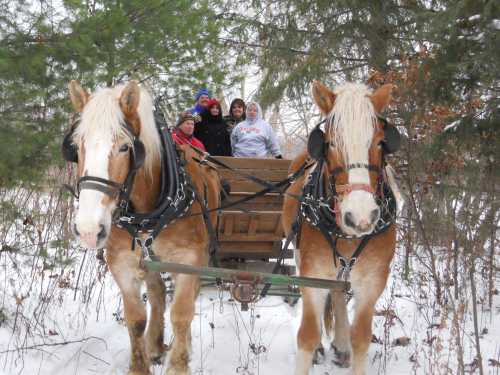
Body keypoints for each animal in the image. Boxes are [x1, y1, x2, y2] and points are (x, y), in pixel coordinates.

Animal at [67, 81, 221, 374]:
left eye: (125, 148)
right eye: (77, 146)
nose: (89, 230)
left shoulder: (190, 260)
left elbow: (182, 314)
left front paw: (179, 364)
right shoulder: (123, 263)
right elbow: (136, 318)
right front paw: (140, 364)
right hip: (149, 259)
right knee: (158, 292)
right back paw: (155, 344)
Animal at [286, 81, 398, 374]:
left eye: (380, 142)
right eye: (331, 142)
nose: (360, 217)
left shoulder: (373, 281)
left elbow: (361, 338)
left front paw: (349, 343)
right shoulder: (312, 275)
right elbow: (307, 336)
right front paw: (313, 348)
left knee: (337, 293)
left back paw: (342, 343)